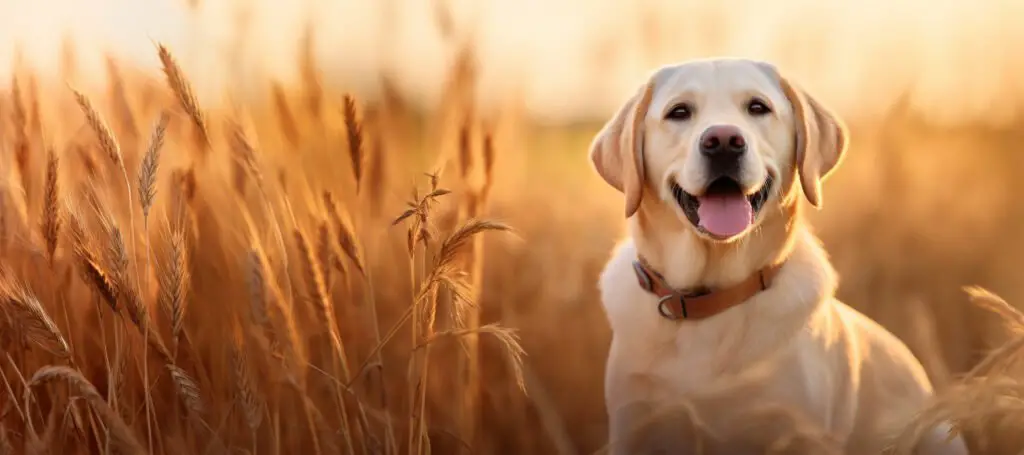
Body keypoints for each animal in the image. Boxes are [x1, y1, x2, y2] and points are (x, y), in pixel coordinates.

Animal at [589, 57, 962, 455]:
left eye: (757, 107)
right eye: (679, 112)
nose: (723, 141)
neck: (712, 299)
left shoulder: (800, 433)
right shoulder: (637, 426)